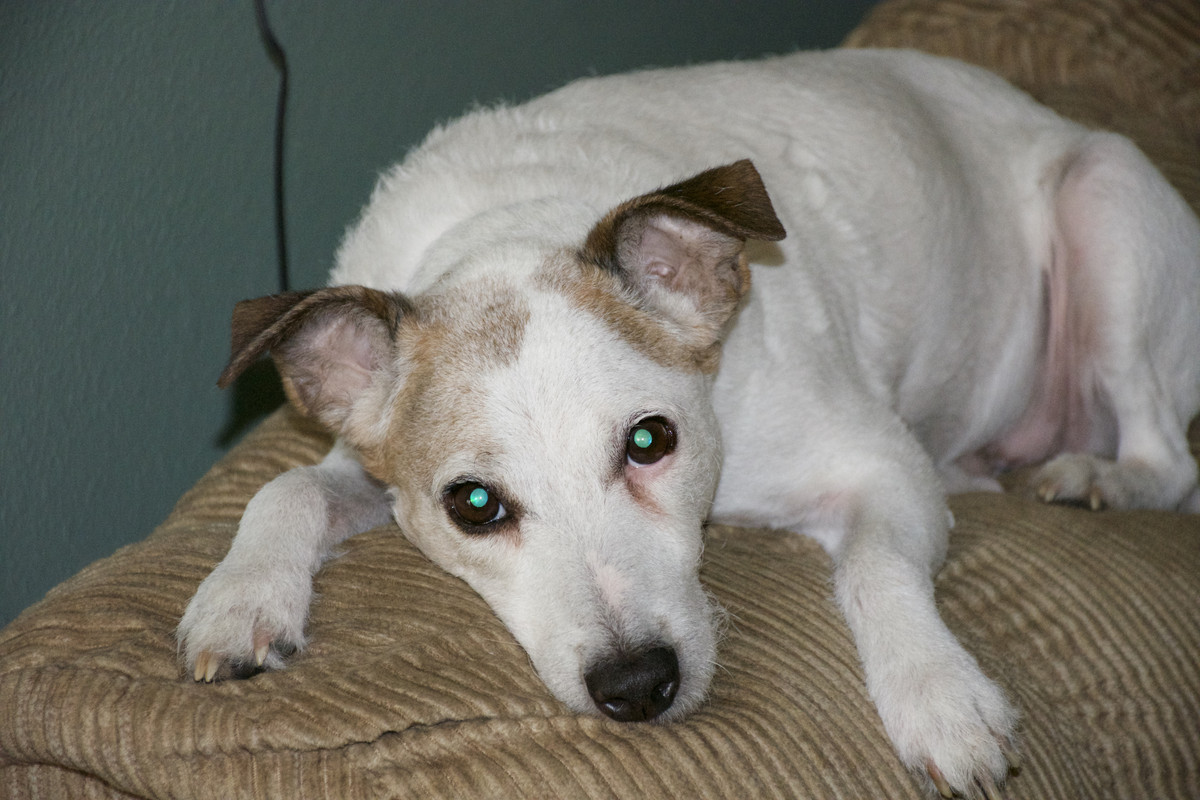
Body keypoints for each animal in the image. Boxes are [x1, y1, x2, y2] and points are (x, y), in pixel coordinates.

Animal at [177, 49, 1200, 798]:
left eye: (649, 441)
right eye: (473, 504)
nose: (637, 686)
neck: (510, 227)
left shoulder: (879, 465)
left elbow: (873, 567)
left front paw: (939, 697)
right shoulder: (367, 466)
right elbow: (287, 485)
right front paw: (241, 597)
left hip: (1103, 203)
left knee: (1166, 455)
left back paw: (1095, 476)